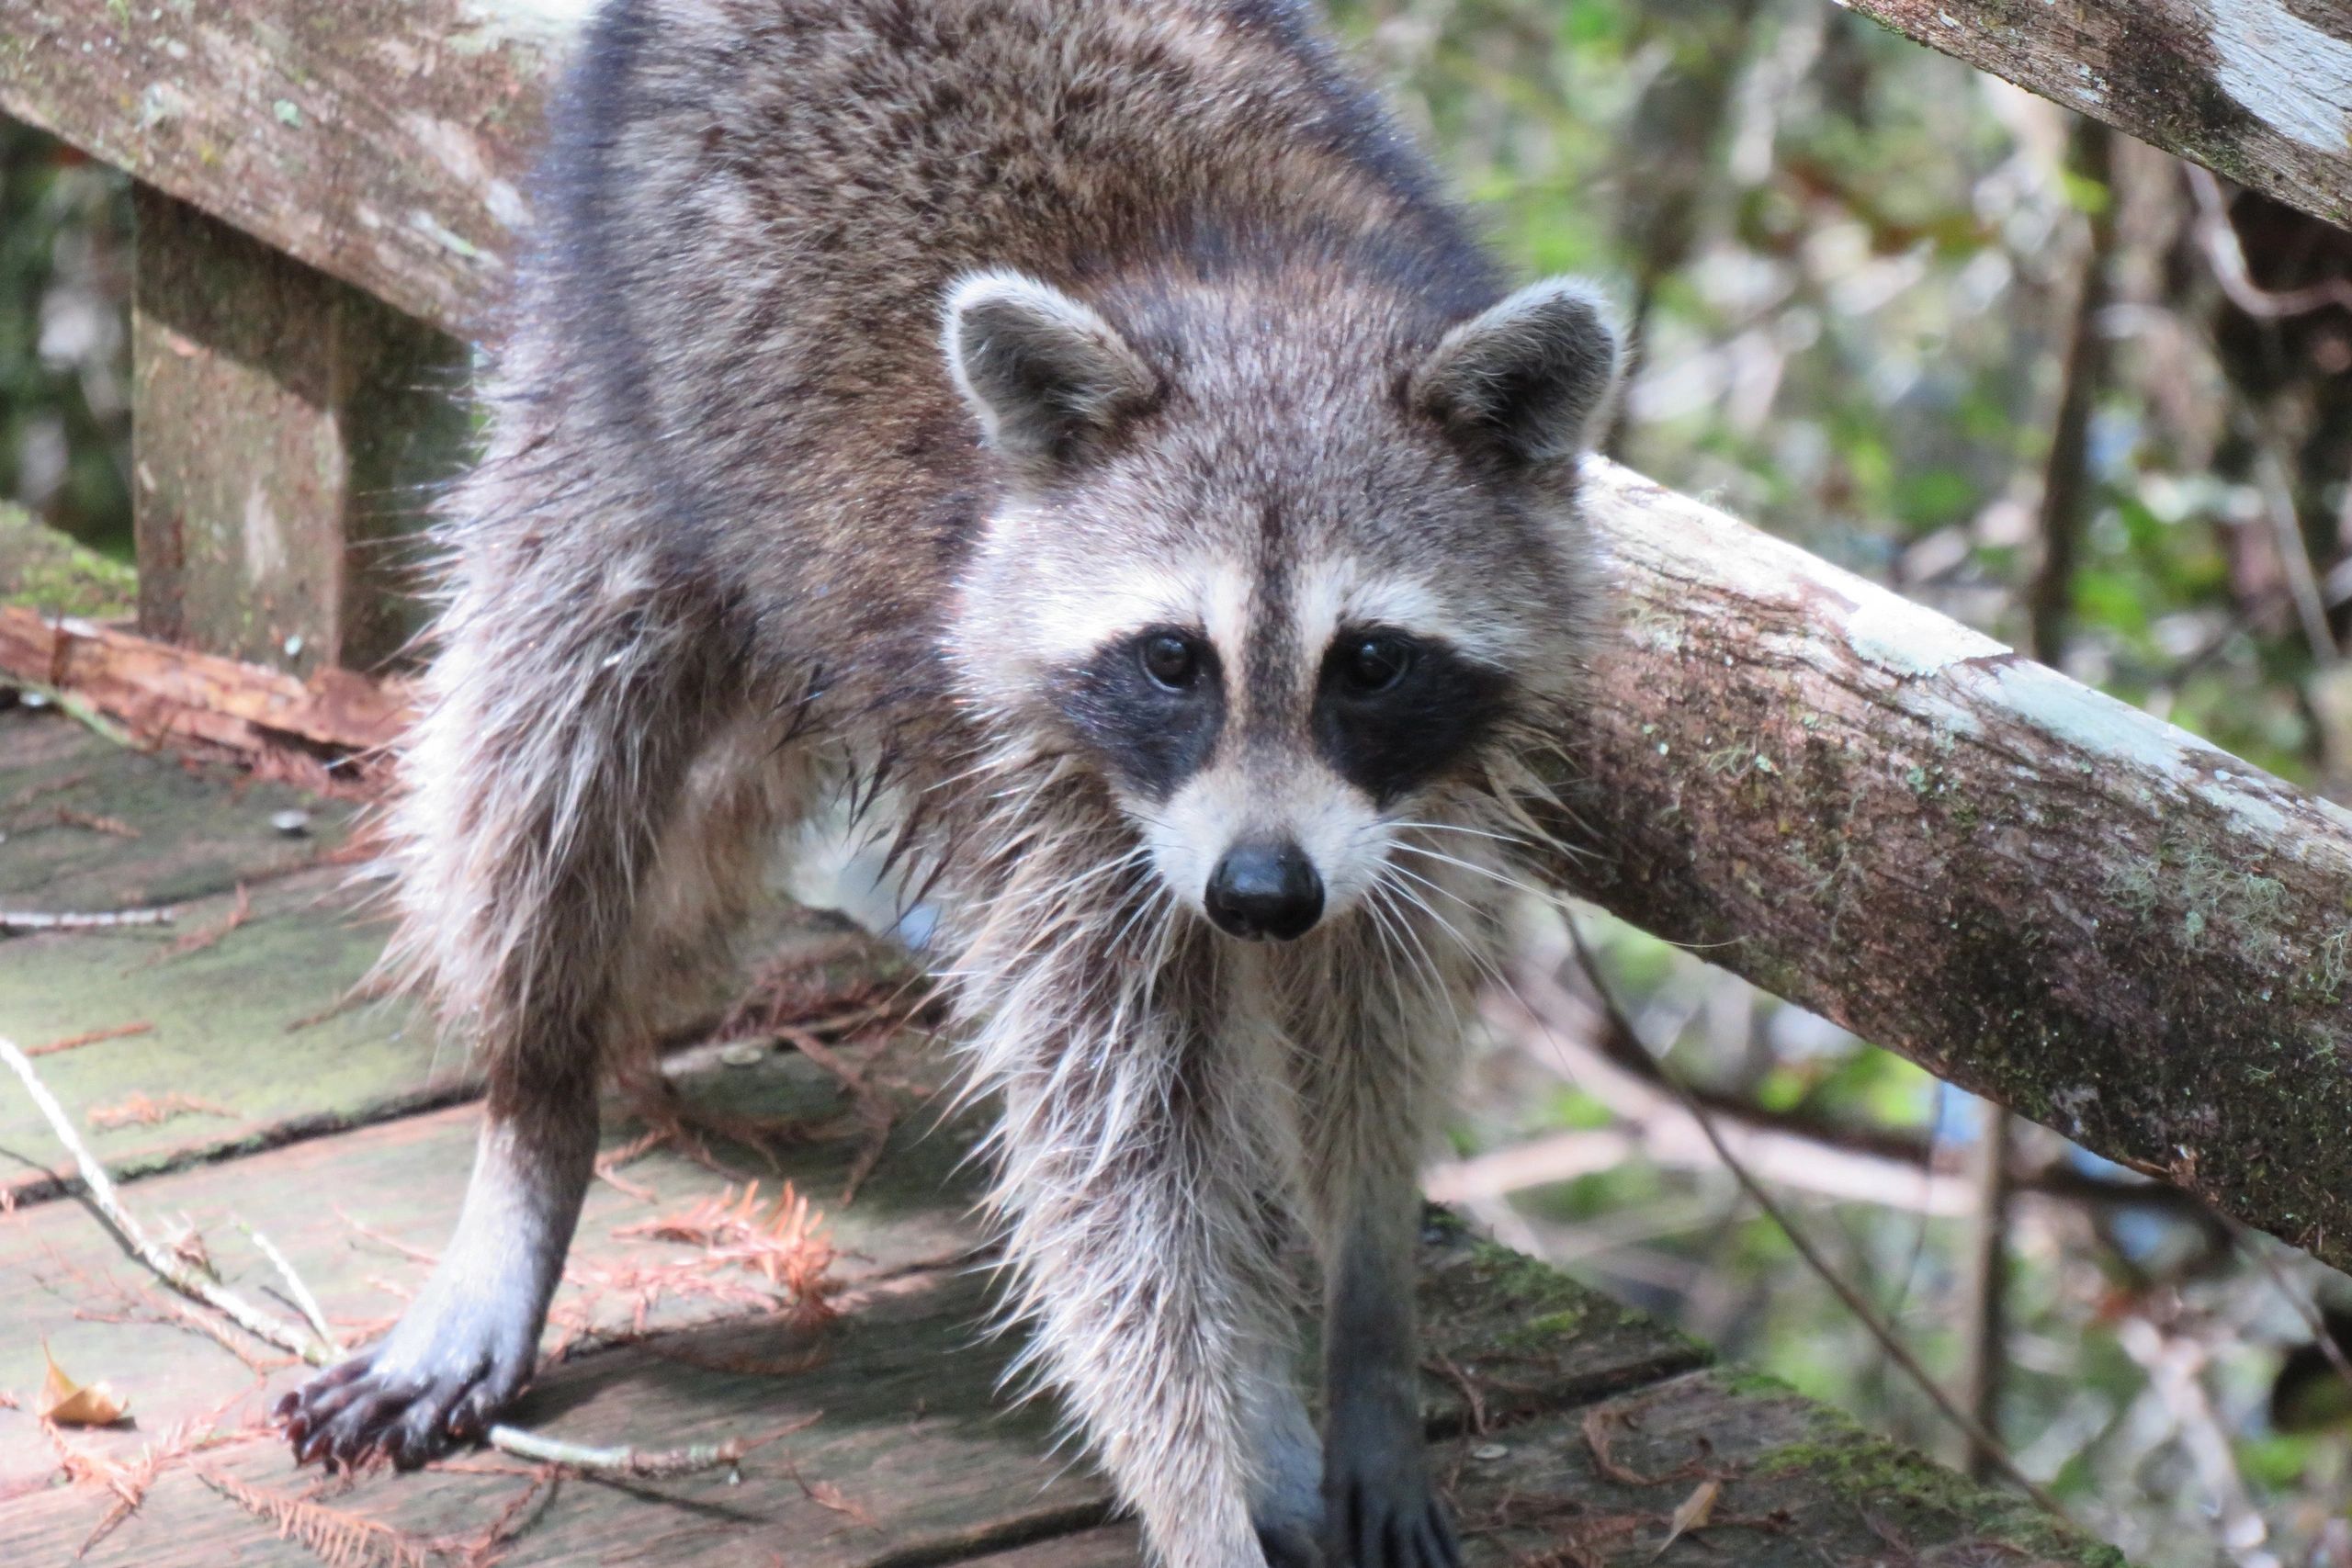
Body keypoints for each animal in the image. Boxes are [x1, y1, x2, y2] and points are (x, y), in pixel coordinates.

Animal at [275, 6, 1618, 1561]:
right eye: (1174, 658)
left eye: (1373, 661)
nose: (1259, 894)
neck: (1260, 298)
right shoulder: (1050, 792)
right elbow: (1107, 1177)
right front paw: (1206, 1488)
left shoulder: (1418, 803)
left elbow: (1375, 1034)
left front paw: (1367, 1331)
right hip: (602, 383)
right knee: (545, 761)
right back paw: (534, 1106)